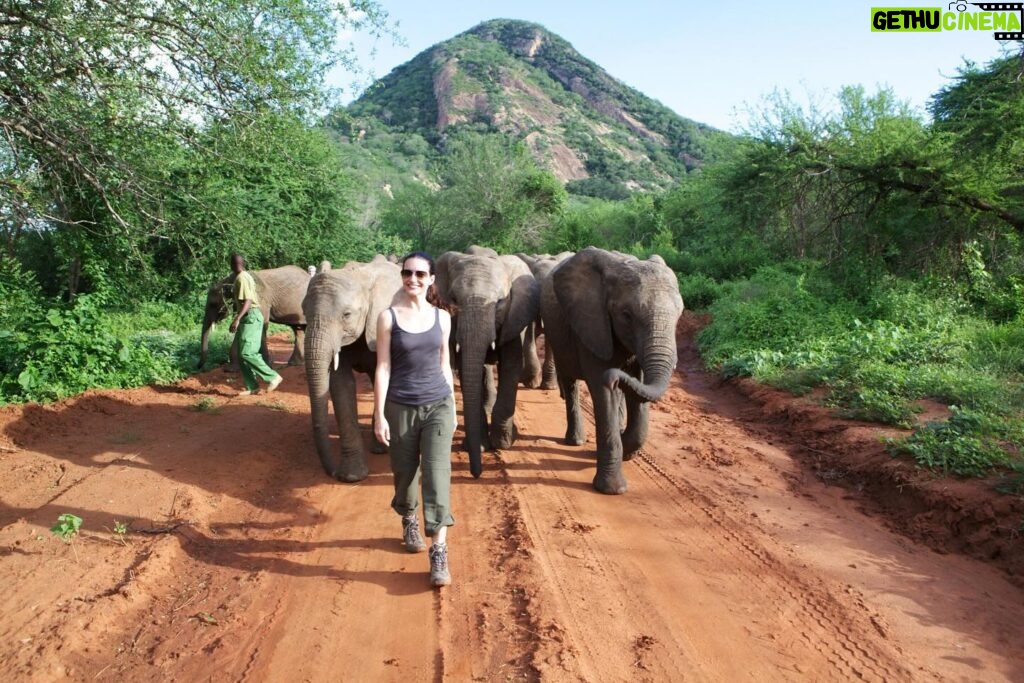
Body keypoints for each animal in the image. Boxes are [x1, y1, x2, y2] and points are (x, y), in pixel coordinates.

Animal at [301, 255, 401, 481]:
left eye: (346, 315)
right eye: (304, 312)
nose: (333, 472)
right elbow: (341, 385)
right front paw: (352, 477)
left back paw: (380, 448)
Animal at [434, 248, 540, 479]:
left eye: (500, 302)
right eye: (454, 299)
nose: (476, 474)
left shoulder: (513, 318)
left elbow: (511, 367)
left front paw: (504, 443)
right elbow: (469, 369)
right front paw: (482, 446)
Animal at [540, 248, 684, 493]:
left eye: (680, 315)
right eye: (626, 315)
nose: (614, 377)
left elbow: (638, 389)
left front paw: (626, 448)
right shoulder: (592, 323)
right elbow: (602, 389)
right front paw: (612, 490)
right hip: (558, 335)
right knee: (570, 381)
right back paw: (576, 441)